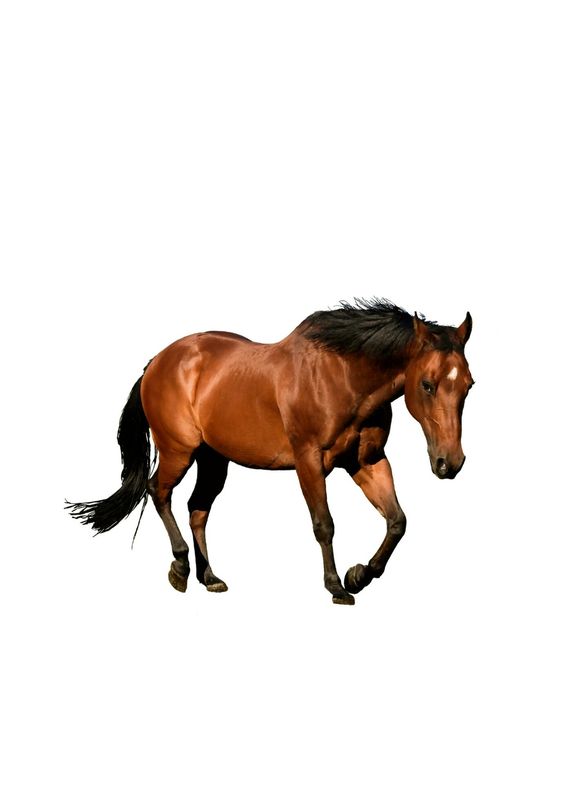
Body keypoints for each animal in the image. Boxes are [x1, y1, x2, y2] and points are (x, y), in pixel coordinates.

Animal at [67, 299, 474, 605]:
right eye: (427, 384)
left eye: (469, 384)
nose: (450, 463)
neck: (342, 376)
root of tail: (156, 363)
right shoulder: (309, 462)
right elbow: (324, 524)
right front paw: (336, 587)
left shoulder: (367, 462)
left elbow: (397, 521)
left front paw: (359, 575)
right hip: (178, 451)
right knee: (158, 491)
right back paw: (180, 568)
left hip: (213, 458)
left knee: (198, 508)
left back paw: (209, 576)